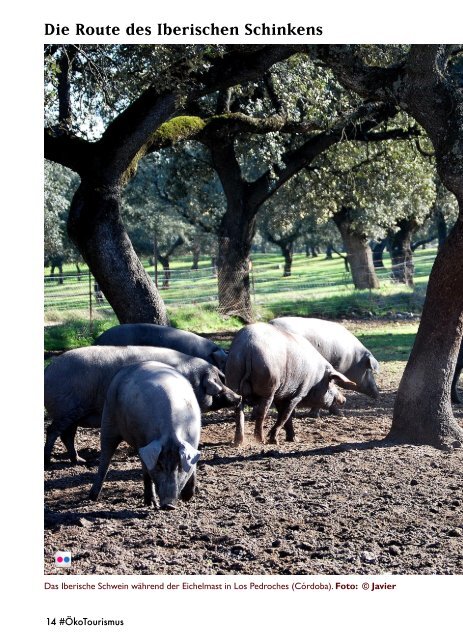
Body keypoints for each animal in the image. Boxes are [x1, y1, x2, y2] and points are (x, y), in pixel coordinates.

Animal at [44, 344, 239, 464]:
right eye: (217, 383)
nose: (238, 396)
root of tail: (48, 369)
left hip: (71, 413)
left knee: (67, 436)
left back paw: (80, 461)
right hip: (65, 410)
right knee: (52, 431)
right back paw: (50, 462)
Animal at [89, 364, 201, 510]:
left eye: (180, 466)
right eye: (159, 464)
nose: (168, 505)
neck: (170, 433)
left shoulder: (194, 442)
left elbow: (193, 466)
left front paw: (187, 497)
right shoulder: (142, 442)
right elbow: (147, 472)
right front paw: (153, 504)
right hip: (108, 417)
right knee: (105, 457)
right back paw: (92, 497)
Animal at [226, 324, 358, 444]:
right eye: (331, 382)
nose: (344, 399)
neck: (316, 377)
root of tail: (248, 348)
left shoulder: (281, 395)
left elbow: (285, 416)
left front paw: (294, 439)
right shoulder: (298, 393)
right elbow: (285, 416)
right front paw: (275, 440)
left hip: (234, 377)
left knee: (238, 411)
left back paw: (239, 442)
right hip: (268, 384)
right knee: (261, 413)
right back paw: (260, 440)